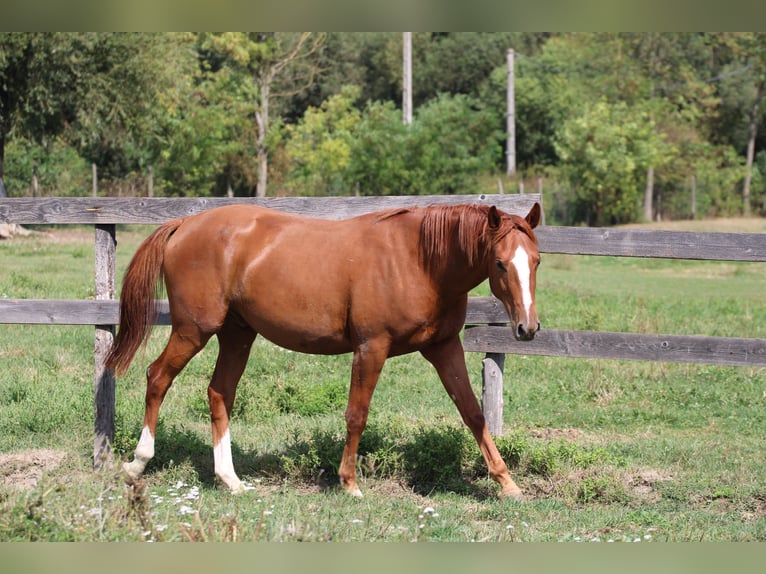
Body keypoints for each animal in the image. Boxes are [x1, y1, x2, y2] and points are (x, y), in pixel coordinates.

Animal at [106, 201, 541, 500]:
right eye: (499, 263)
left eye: (536, 260)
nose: (528, 328)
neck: (419, 261)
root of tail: (184, 224)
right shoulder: (371, 348)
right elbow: (356, 415)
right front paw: (349, 483)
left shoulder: (444, 347)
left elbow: (473, 414)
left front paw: (507, 483)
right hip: (193, 330)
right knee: (158, 377)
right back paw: (137, 464)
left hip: (237, 335)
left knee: (220, 393)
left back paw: (231, 480)